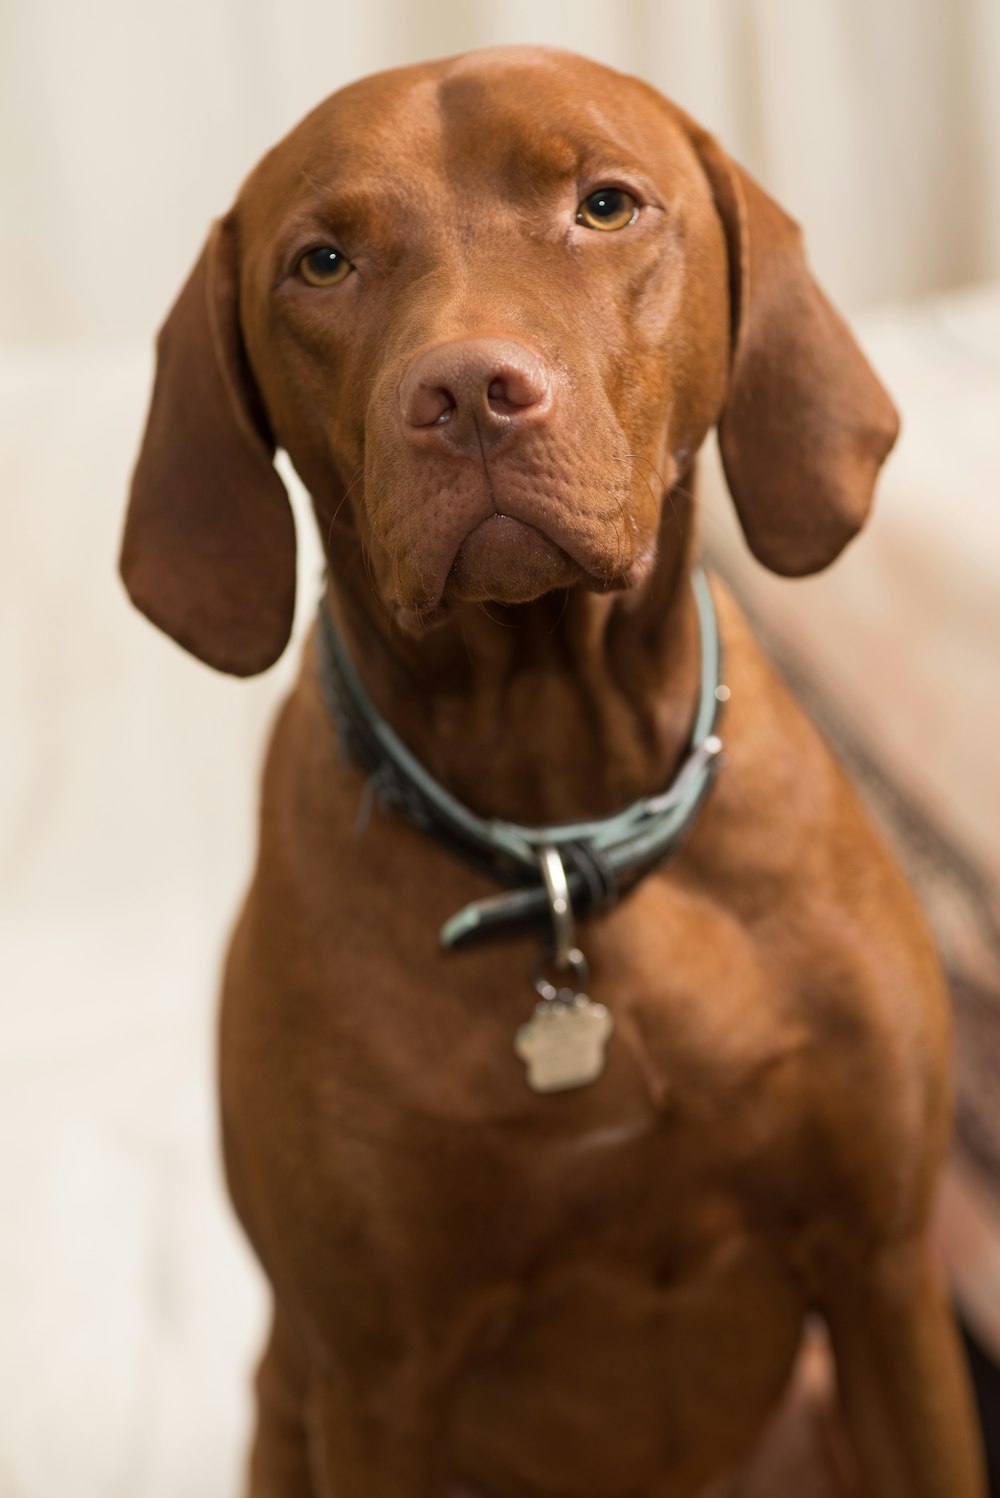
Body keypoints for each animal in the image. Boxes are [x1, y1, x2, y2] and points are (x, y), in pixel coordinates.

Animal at [119, 46, 982, 1498]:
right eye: (323, 262)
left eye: (607, 205)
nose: (468, 393)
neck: (561, 820)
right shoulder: (376, 1381)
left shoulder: (883, 1281)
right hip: (282, 1404)